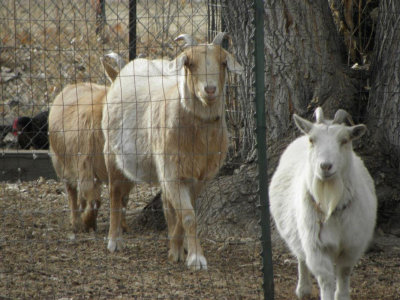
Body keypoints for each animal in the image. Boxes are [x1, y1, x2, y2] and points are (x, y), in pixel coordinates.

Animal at [101, 32, 242, 270]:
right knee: (115, 194)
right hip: (111, 153)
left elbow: (184, 213)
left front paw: (178, 249)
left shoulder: (198, 176)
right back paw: (114, 240)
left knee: (165, 205)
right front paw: (196, 258)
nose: (210, 89)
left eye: (223, 62)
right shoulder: (172, 172)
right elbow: (188, 216)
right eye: (189, 63)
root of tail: (125, 69)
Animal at [268, 108, 378, 300]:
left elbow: (343, 273)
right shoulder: (316, 247)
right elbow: (326, 279)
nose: (325, 166)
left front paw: (342, 296)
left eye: (344, 140)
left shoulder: (352, 245)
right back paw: (303, 289)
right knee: (301, 257)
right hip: (297, 233)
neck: (330, 200)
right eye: (312, 140)